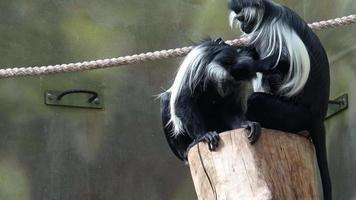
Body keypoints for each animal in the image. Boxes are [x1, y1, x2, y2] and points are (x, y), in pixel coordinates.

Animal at [229, 0, 332, 199]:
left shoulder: (273, 29)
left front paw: (242, 65)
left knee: (258, 99)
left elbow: (283, 60)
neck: (267, 14)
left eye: (244, 18)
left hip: (295, 115)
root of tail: (318, 116)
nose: (244, 27)